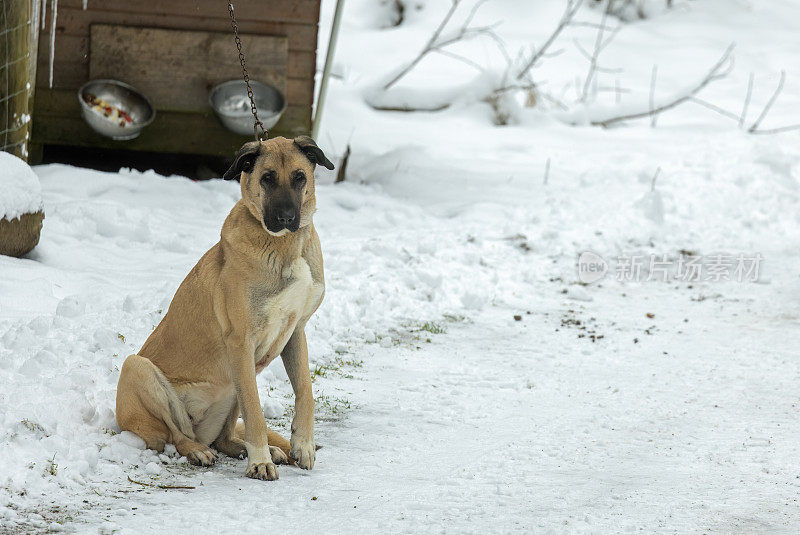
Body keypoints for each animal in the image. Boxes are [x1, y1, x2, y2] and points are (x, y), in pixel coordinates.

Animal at [115, 136, 334, 480]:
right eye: (267, 178)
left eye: (300, 177)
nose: (286, 218)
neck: (285, 246)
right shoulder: (241, 341)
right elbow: (256, 413)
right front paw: (260, 463)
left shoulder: (295, 331)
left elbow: (305, 393)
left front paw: (302, 445)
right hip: (137, 367)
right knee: (177, 435)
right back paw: (200, 451)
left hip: (235, 381)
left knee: (224, 436)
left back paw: (256, 448)